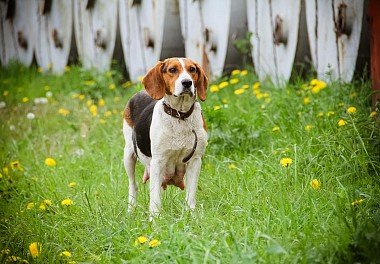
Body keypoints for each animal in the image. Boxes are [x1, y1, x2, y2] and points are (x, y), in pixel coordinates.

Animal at [122, 57, 208, 217]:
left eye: (192, 69)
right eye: (172, 70)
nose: (187, 82)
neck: (180, 115)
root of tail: (140, 92)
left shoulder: (195, 161)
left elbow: (191, 195)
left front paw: (191, 216)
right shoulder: (158, 161)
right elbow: (154, 199)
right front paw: (154, 220)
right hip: (129, 155)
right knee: (133, 185)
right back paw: (131, 210)